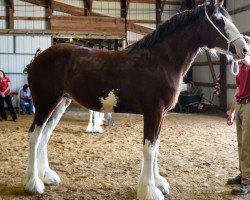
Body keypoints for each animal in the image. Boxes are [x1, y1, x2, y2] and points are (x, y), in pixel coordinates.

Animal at [23, 0, 248, 199]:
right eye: (219, 20)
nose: (243, 50)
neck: (160, 61)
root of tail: (38, 59)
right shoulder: (153, 112)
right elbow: (149, 149)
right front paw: (150, 191)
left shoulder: (161, 115)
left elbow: (156, 147)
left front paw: (159, 184)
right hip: (45, 103)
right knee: (34, 136)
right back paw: (34, 184)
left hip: (61, 102)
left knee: (45, 135)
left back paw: (47, 177)